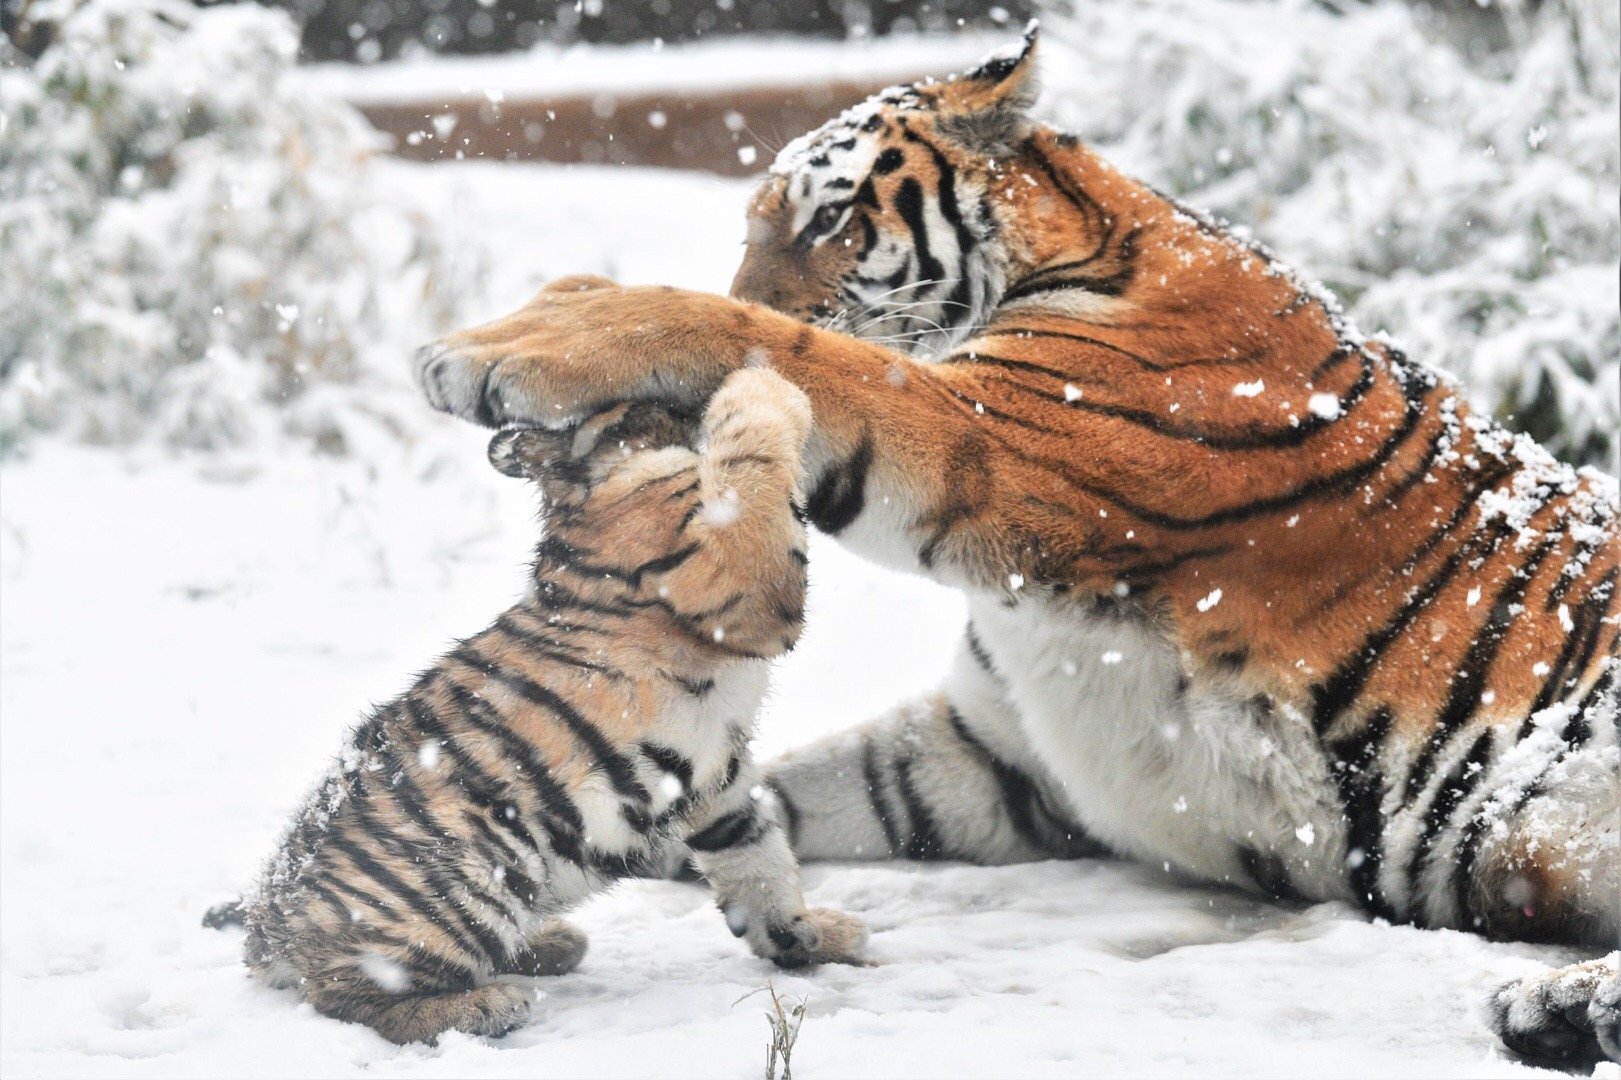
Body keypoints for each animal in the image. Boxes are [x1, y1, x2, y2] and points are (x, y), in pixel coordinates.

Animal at [221, 367, 866, 1045]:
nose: (691, 394)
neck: (589, 485)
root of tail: (271, 920)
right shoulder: (730, 561)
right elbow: (753, 452)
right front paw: (762, 381)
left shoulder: (720, 780)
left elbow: (759, 862)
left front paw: (810, 937)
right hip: (468, 879)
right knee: (348, 993)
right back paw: (489, 1003)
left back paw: (550, 945)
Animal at [414, 29, 1620, 1066]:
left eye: (824, 220)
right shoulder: (995, 754)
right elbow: (798, 786)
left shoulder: (991, 439)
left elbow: (770, 346)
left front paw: (517, 343)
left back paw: (1556, 1007)